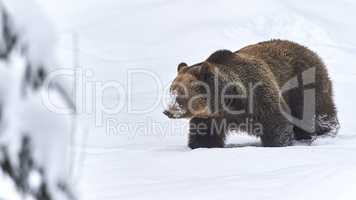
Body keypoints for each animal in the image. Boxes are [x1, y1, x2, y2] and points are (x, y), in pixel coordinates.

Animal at [163, 39, 340, 148]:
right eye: (171, 90)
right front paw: (201, 146)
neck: (228, 101)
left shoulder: (259, 97)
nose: (168, 111)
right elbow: (204, 134)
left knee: (316, 111)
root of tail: (309, 50)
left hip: (304, 84)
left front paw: (278, 143)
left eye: (181, 93)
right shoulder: (211, 117)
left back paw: (324, 134)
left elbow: (276, 124)